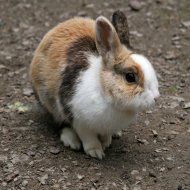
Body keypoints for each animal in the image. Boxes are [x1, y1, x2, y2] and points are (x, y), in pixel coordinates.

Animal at [29, 10, 160, 159]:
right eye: (130, 77)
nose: (156, 97)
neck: (105, 93)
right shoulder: (78, 119)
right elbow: (88, 137)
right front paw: (96, 152)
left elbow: (106, 134)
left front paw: (106, 142)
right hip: (48, 102)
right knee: (58, 122)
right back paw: (71, 141)